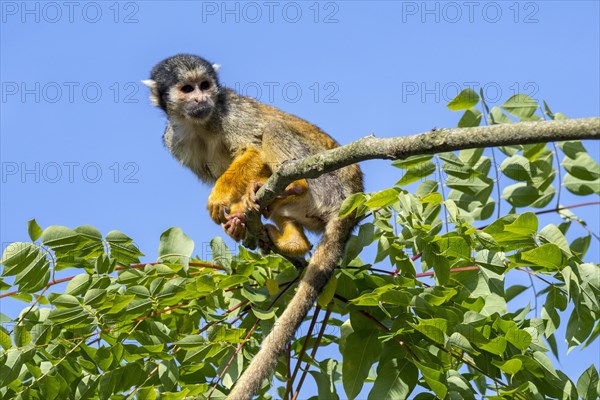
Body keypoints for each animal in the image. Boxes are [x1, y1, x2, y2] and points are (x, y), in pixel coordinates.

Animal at [143, 54, 364, 400]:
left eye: (205, 85)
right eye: (187, 89)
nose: (202, 99)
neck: (201, 123)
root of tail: (353, 199)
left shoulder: (231, 111)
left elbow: (254, 148)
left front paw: (222, 197)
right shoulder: (174, 140)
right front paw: (236, 219)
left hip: (329, 183)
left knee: (273, 130)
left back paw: (292, 185)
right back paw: (290, 239)